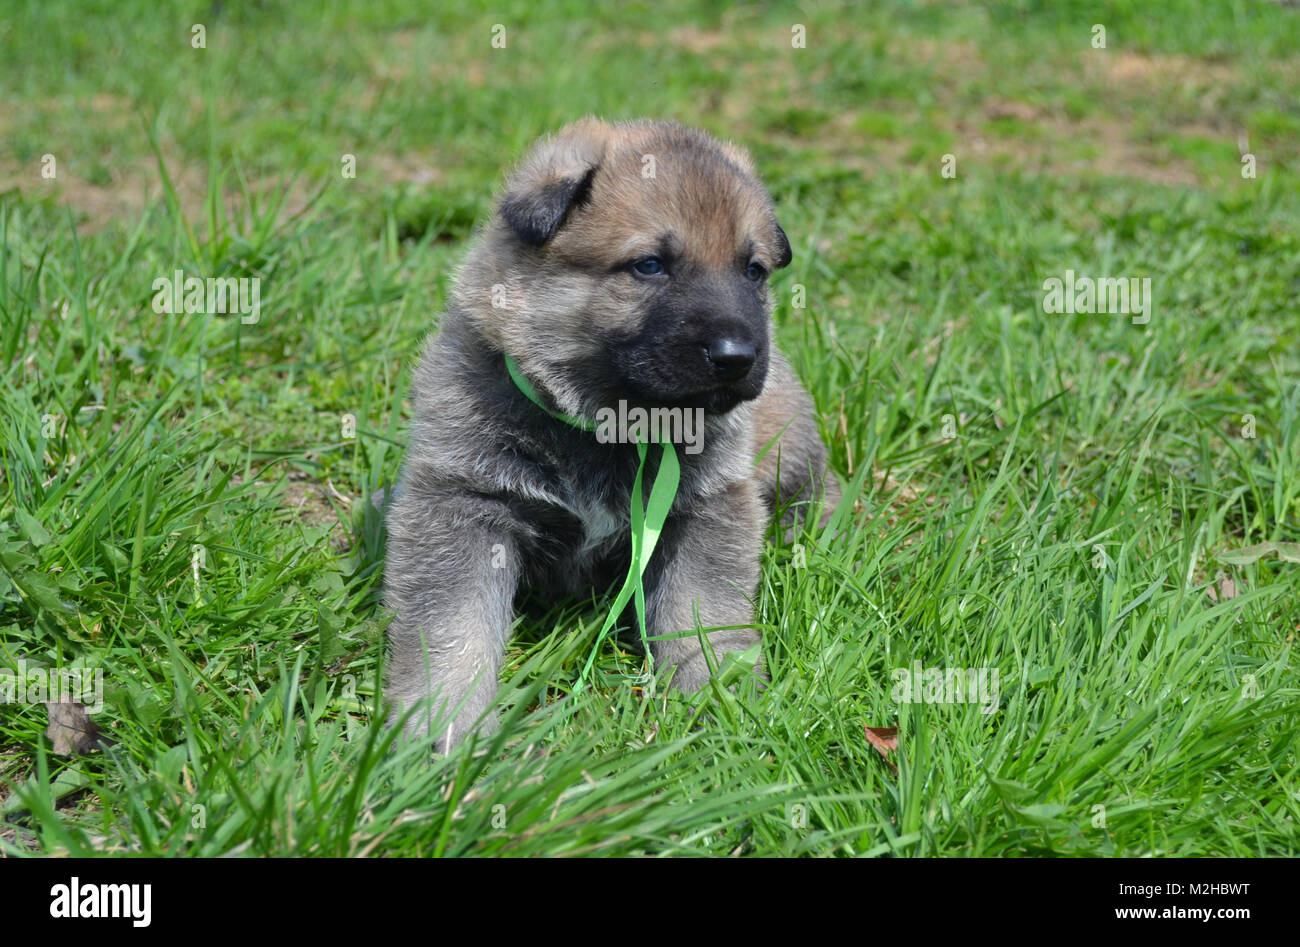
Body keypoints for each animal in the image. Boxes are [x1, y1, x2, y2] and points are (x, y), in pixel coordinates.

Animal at [379, 118, 837, 749]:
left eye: (753, 271)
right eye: (649, 265)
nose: (737, 357)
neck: (609, 424)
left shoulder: (707, 505)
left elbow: (703, 609)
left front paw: (718, 695)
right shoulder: (464, 502)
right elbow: (454, 627)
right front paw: (444, 728)